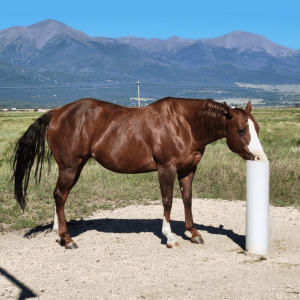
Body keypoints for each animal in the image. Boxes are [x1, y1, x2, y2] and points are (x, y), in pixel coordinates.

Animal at [11, 97, 268, 250]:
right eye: (241, 130)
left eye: (257, 128)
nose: (260, 158)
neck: (184, 124)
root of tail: (57, 112)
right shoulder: (166, 168)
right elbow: (167, 201)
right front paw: (170, 237)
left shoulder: (188, 169)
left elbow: (187, 199)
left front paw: (193, 233)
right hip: (69, 166)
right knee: (59, 195)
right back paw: (67, 238)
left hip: (76, 167)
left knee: (60, 196)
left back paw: (59, 232)